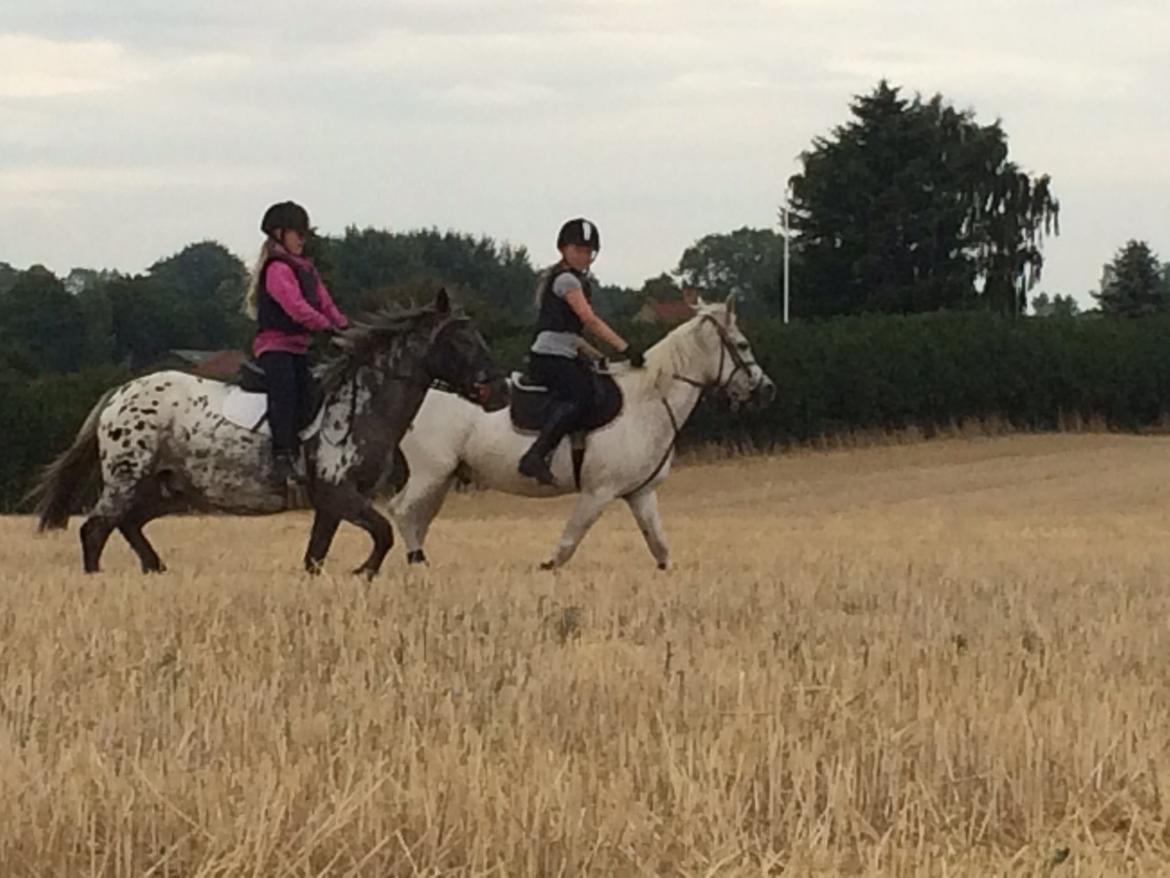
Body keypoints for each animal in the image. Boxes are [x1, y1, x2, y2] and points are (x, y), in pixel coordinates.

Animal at [32, 290, 505, 578]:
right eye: (461, 340)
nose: (497, 390)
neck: (361, 401)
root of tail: (120, 393)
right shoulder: (339, 493)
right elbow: (384, 534)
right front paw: (363, 572)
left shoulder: (331, 504)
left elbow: (316, 555)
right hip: (128, 478)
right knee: (95, 529)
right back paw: (99, 580)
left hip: (167, 490)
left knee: (128, 524)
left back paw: (156, 570)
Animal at [386, 296, 776, 571]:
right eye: (742, 345)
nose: (767, 389)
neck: (648, 399)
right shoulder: (597, 493)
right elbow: (568, 543)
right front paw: (547, 567)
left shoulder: (641, 494)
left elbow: (659, 546)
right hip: (431, 473)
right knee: (403, 512)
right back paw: (418, 564)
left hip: (441, 477)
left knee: (415, 517)